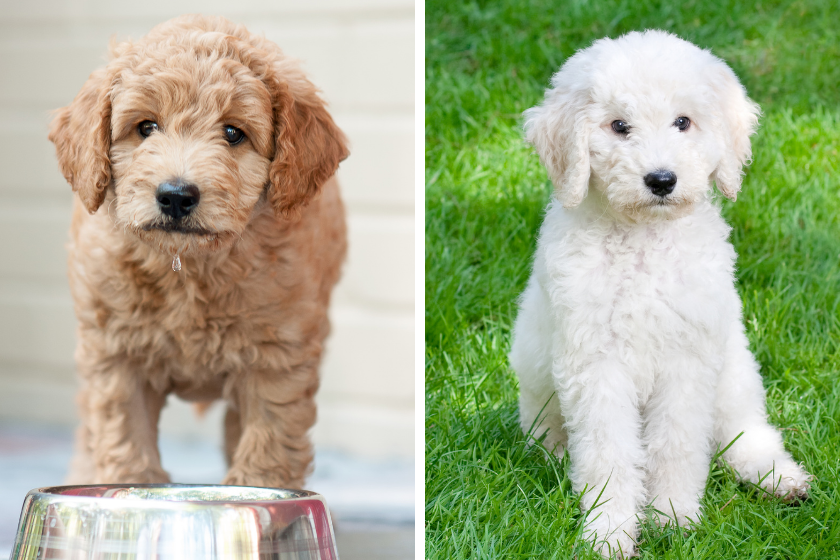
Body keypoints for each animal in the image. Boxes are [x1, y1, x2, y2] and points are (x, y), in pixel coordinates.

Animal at [47, 15, 350, 488]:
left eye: (233, 133)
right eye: (146, 127)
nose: (175, 196)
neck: (186, 268)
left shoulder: (278, 358)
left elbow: (267, 446)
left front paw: (256, 500)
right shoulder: (114, 357)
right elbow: (125, 442)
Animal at [508, 29, 812, 556]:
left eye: (683, 122)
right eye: (619, 126)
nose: (662, 180)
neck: (644, 240)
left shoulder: (686, 361)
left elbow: (678, 444)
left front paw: (673, 519)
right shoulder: (597, 366)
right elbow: (608, 454)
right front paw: (609, 533)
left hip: (734, 370)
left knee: (745, 432)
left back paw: (778, 478)